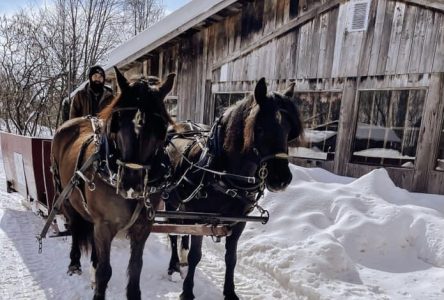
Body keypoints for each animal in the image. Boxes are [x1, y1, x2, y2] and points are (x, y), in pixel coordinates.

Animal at [51, 67, 176, 298]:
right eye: (118, 121)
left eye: (160, 127)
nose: (131, 182)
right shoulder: (105, 224)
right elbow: (104, 271)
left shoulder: (143, 226)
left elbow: (135, 268)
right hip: (67, 199)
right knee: (75, 229)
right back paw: (74, 264)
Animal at [158, 78, 304, 298]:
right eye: (259, 128)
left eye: (288, 130)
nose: (282, 179)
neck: (223, 174)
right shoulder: (200, 216)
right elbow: (195, 255)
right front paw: (187, 291)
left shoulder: (238, 222)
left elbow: (231, 258)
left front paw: (230, 292)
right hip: (171, 201)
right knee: (174, 231)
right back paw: (174, 266)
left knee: (182, 230)